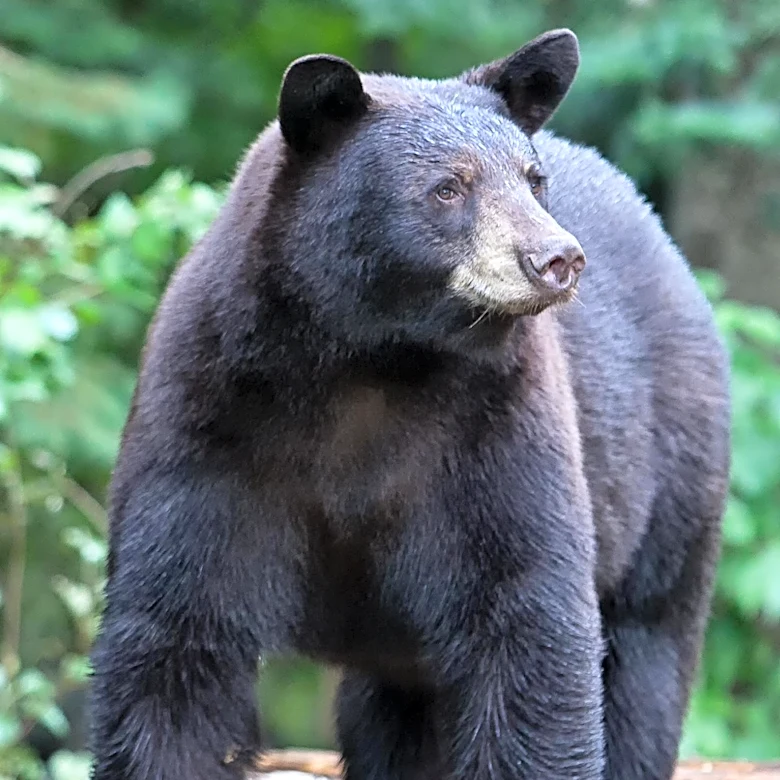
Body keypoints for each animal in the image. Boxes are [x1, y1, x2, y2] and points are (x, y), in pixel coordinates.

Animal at [88, 28, 731, 780]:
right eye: (449, 187)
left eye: (533, 179)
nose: (557, 258)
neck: (373, 359)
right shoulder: (209, 421)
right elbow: (177, 639)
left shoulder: (497, 431)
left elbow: (529, 619)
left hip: (673, 475)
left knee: (646, 652)